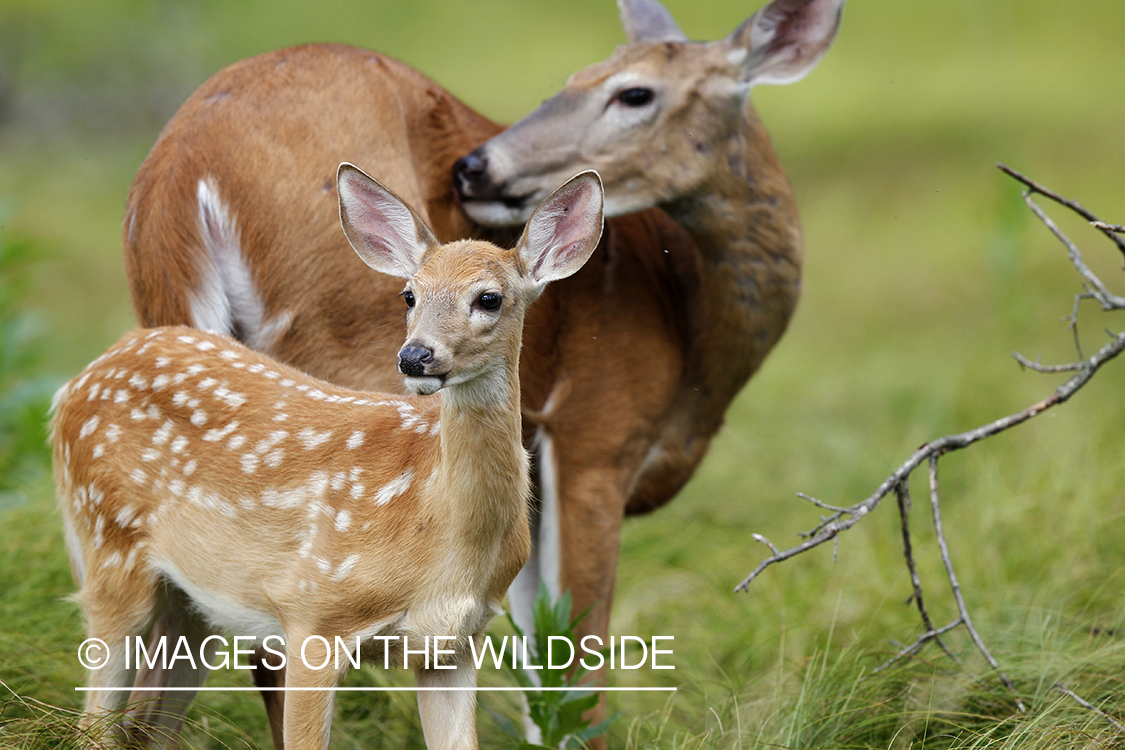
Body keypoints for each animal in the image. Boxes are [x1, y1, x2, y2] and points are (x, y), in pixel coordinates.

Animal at [53, 169, 607, 750]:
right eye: (409, 294)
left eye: (490, 298)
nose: (415, 357)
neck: (438, 529)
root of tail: (75, 384)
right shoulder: (313, 612)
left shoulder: (452, 643)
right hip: (108, 549)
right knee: (94, 720)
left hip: (194, 605)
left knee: (148, 722)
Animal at [120, 0, 846, 737]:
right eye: (583, 79)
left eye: (632, 92)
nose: (474, 168)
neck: (688, 323)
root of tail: (180, 174)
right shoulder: (594, 433)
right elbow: (578, 665)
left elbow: (536, 658)